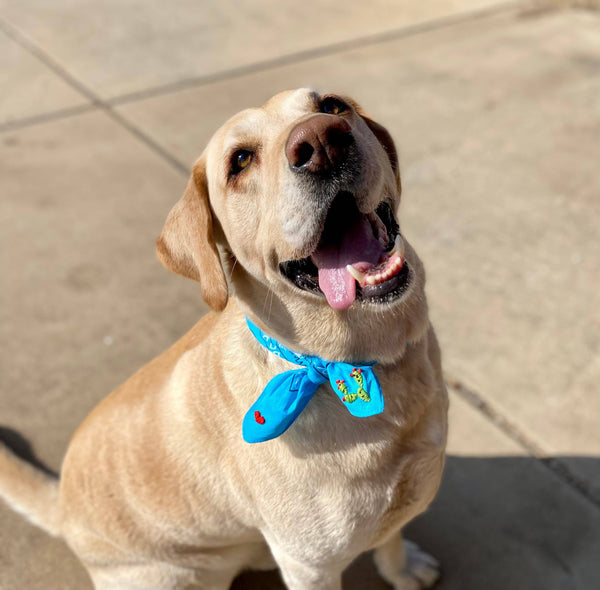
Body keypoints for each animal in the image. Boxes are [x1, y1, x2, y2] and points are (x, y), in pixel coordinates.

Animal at [0, 89, 446, 590]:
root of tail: (62, 507)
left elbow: (391, 534)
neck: (354, 363)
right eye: (241, 161)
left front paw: (402, 567)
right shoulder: (309, 565)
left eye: (331, 106)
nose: (322, 141)